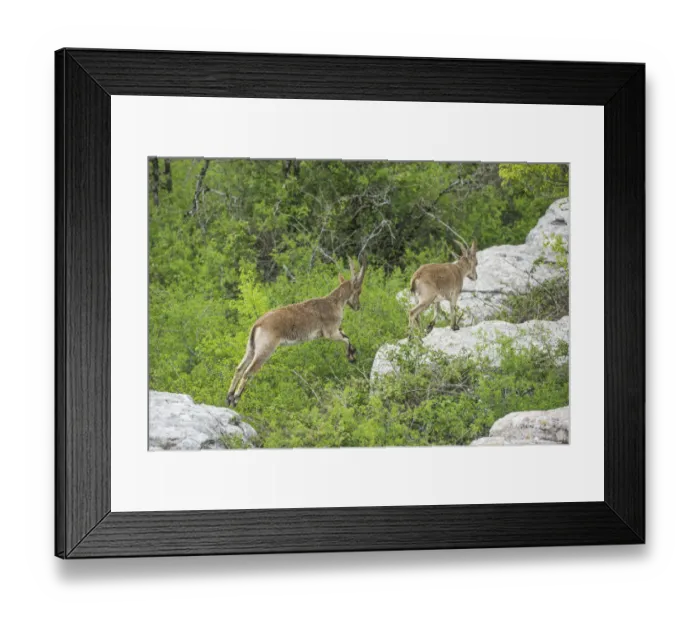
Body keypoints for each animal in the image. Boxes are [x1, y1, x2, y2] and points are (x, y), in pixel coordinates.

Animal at [226, 256, 367, 407]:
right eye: (359, 291)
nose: (358, 306)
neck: (334, 302)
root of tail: (257, 325)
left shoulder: (335, 330)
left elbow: (346, 335)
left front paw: (352, 354)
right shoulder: (331, 332)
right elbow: (346, 338)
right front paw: (351, 357)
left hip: (251, 348)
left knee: (239, 369)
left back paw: (229, 397)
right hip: (265, 349)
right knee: (248, 372)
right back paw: (236, 399)